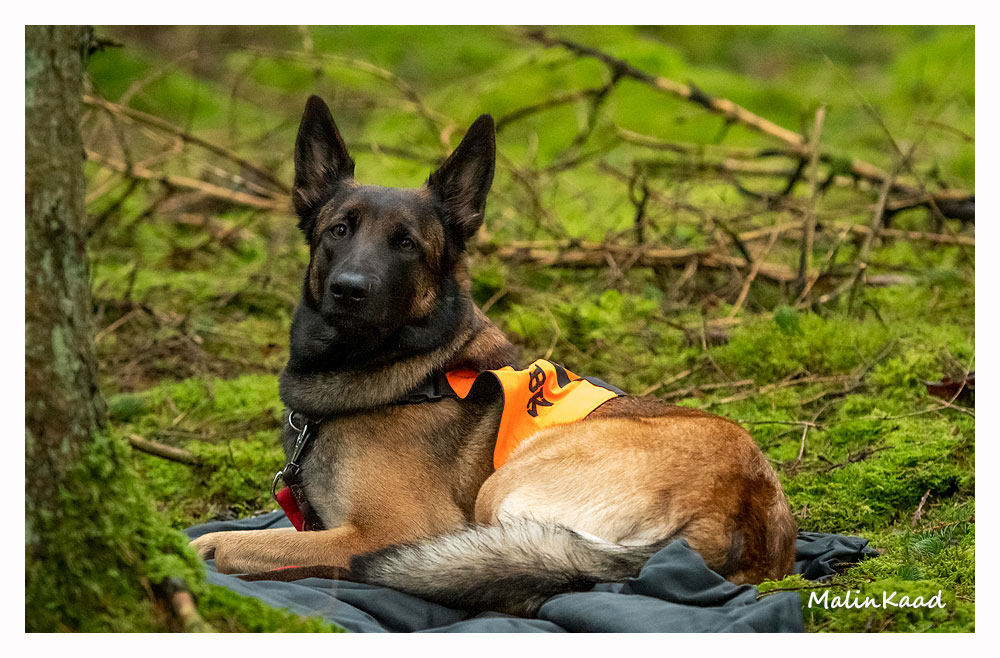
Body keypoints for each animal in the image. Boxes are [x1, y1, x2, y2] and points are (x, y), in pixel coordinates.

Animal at [191, 95, 797, 616]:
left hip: (498, 493)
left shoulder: (396, 530)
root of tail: (733, 514)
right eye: (338, 230)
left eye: (406, 243)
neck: (412, 371)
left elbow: (238, 543)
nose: (348, 290)